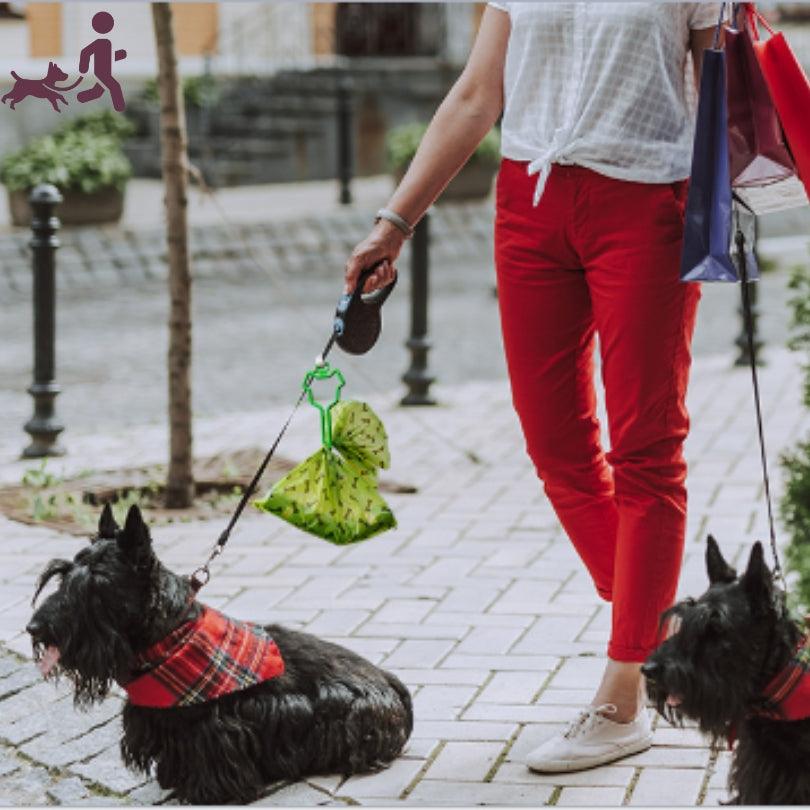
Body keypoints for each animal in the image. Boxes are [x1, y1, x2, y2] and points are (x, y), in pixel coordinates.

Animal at [28, 504, 414, 800]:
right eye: (61, 576)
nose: (34, 628)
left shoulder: (214, 728)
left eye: (96, 585)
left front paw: (206, 792)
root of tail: (391, 682)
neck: (171, 636)